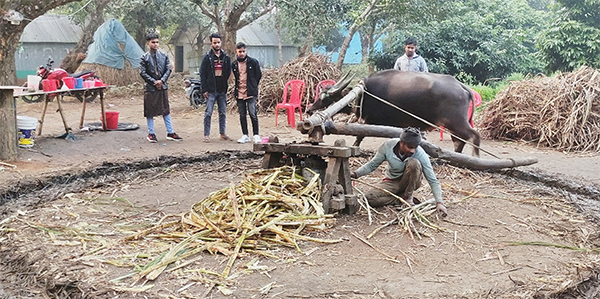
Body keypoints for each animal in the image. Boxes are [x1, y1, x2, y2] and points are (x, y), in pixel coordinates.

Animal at [308, 69, 480, 156]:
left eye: (325, 97)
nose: (310, 108)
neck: (365, 93)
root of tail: (461, 86)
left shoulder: (371, 119)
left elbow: (360, 135)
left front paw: (355, 146)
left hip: (456, 122)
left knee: (474, 136)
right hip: (453, 125)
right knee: (459, 140)